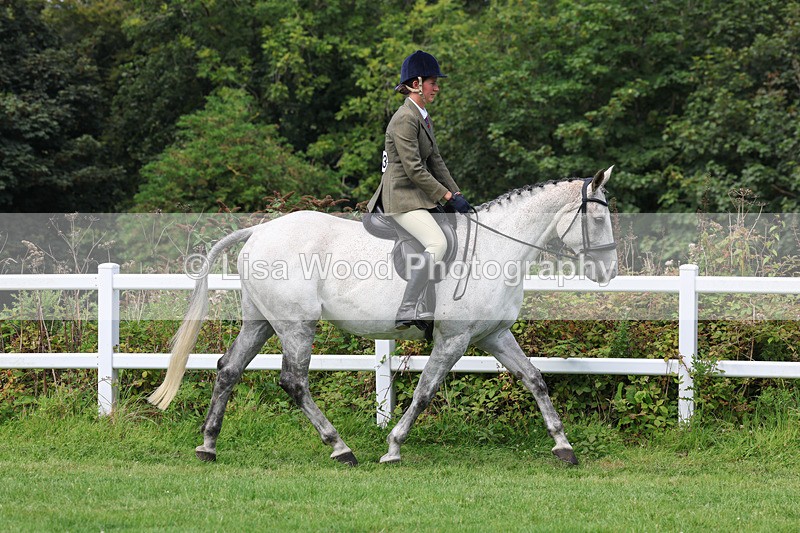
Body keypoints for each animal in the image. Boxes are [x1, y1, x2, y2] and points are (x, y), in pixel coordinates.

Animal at [148, 167, 619, 466]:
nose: (609, 272)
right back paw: (340, 449)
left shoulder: (493, 335)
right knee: (293, 381)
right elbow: (425, 393)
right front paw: (392, 448)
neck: (495, 248)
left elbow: (535, 379)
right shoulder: (453, 340)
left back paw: (208, 446)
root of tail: (260, 230)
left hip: (261, 321)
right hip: (296, 325)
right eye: (597, 218)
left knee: (229, 369)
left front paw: (563, 447)